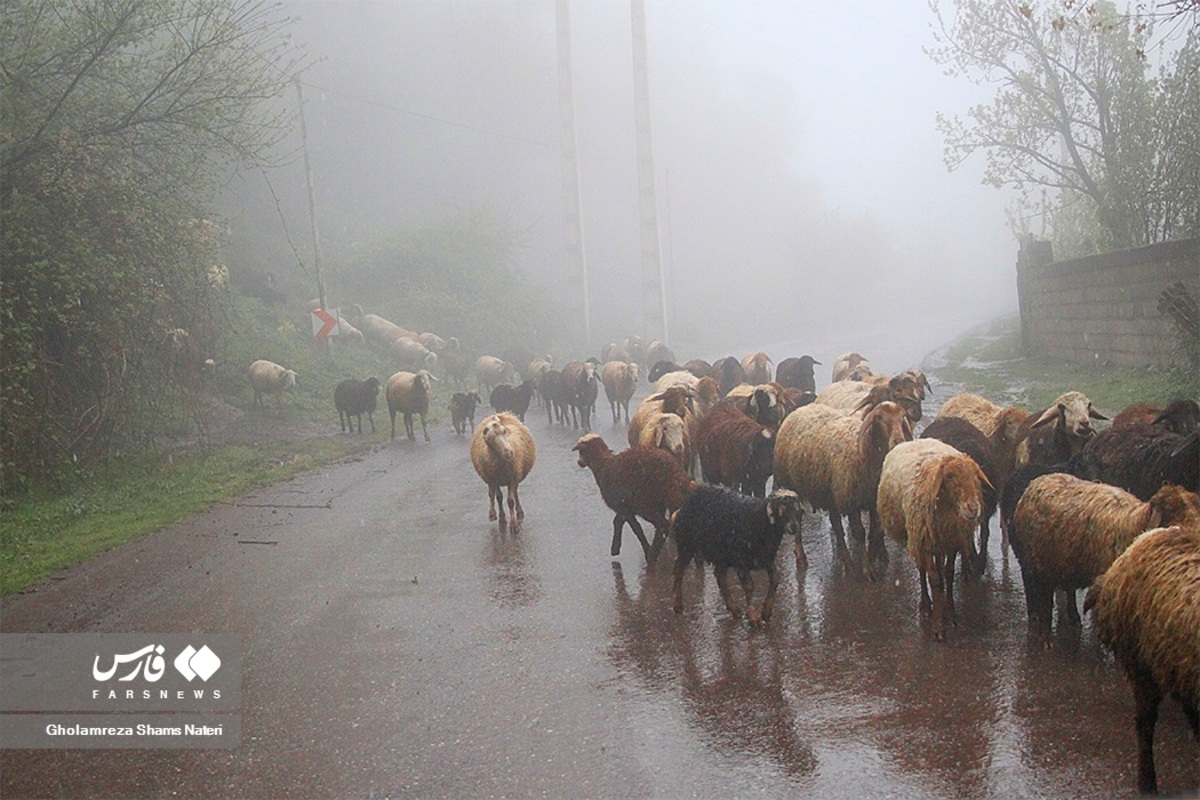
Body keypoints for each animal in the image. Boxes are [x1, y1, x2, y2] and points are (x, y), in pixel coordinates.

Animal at [672, 489, 801, 623]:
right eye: (781, 510)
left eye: (797, 510)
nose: (794, 526)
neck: (758, 520)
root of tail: (683, 507)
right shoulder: (741, 560)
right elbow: (749, 586)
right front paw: (753, 616)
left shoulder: (767, 558)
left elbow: (775, 578)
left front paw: (766, 611)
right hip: (686, 544)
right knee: (679, 569)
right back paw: (677, 604)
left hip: (721, 556)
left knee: (720, 577)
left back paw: (734, 609)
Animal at [878, 441, 988, 642]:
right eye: (949, 476)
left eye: (975, 475)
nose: (973, 507)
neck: (947, 508)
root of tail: (912, 441)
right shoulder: (926, 542)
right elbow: (934, 579)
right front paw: (938, 626)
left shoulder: (952, 540)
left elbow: (948, 573)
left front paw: (950, 612)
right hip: (917, 536)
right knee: (922, 568)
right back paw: (926, 603)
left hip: (938, 541)